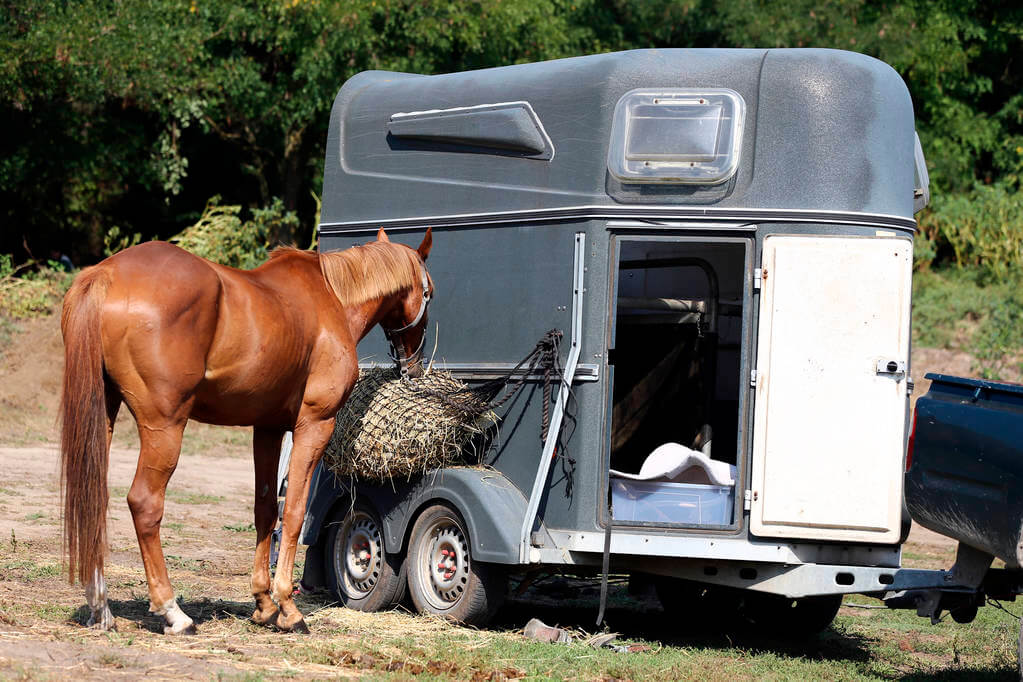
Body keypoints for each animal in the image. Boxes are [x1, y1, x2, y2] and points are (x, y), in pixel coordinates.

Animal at [59, 227, 433, 634]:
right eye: (428, 291)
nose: (414, 365)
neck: (330, 297)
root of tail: (107, 274)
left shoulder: (267, 429)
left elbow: (265, 510)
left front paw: (264, 603)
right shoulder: (314, 425)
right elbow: (294, 512)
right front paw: (288, 607)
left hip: (102, 419)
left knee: (93, 497)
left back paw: (100, 608)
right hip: (165, 428)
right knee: (144, 503)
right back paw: (172, 612)